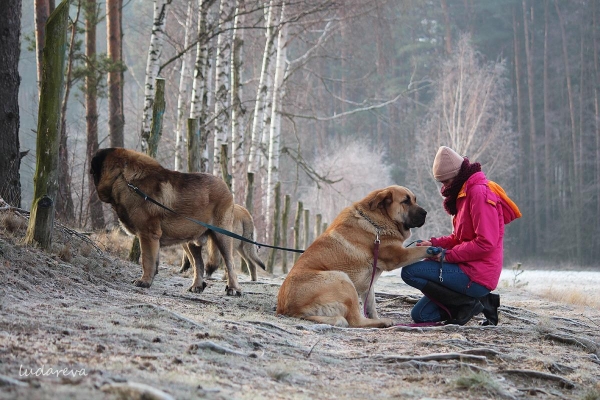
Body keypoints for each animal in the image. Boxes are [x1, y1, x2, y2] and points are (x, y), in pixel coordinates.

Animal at [90, 148, 240, 296]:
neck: (125, 179)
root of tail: (225, 186)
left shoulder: (148, 234)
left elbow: (147, 260)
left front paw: (144, 281)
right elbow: (153, 261)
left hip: (222, 236)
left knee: (230, 263)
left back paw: (233, 288)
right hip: (191, 241)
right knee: (198, 264)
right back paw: (197, 286)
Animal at [276, 186, 436, 326]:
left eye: (414, 199)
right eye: (406, 201)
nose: (426, 213)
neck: (377, 223)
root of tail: (288, 309)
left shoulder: (369, 284)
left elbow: (371, 306)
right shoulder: (398, 256)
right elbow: (420, 250)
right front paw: (435, 249)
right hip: (342, 279)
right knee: (355, 321)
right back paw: (384, 322)